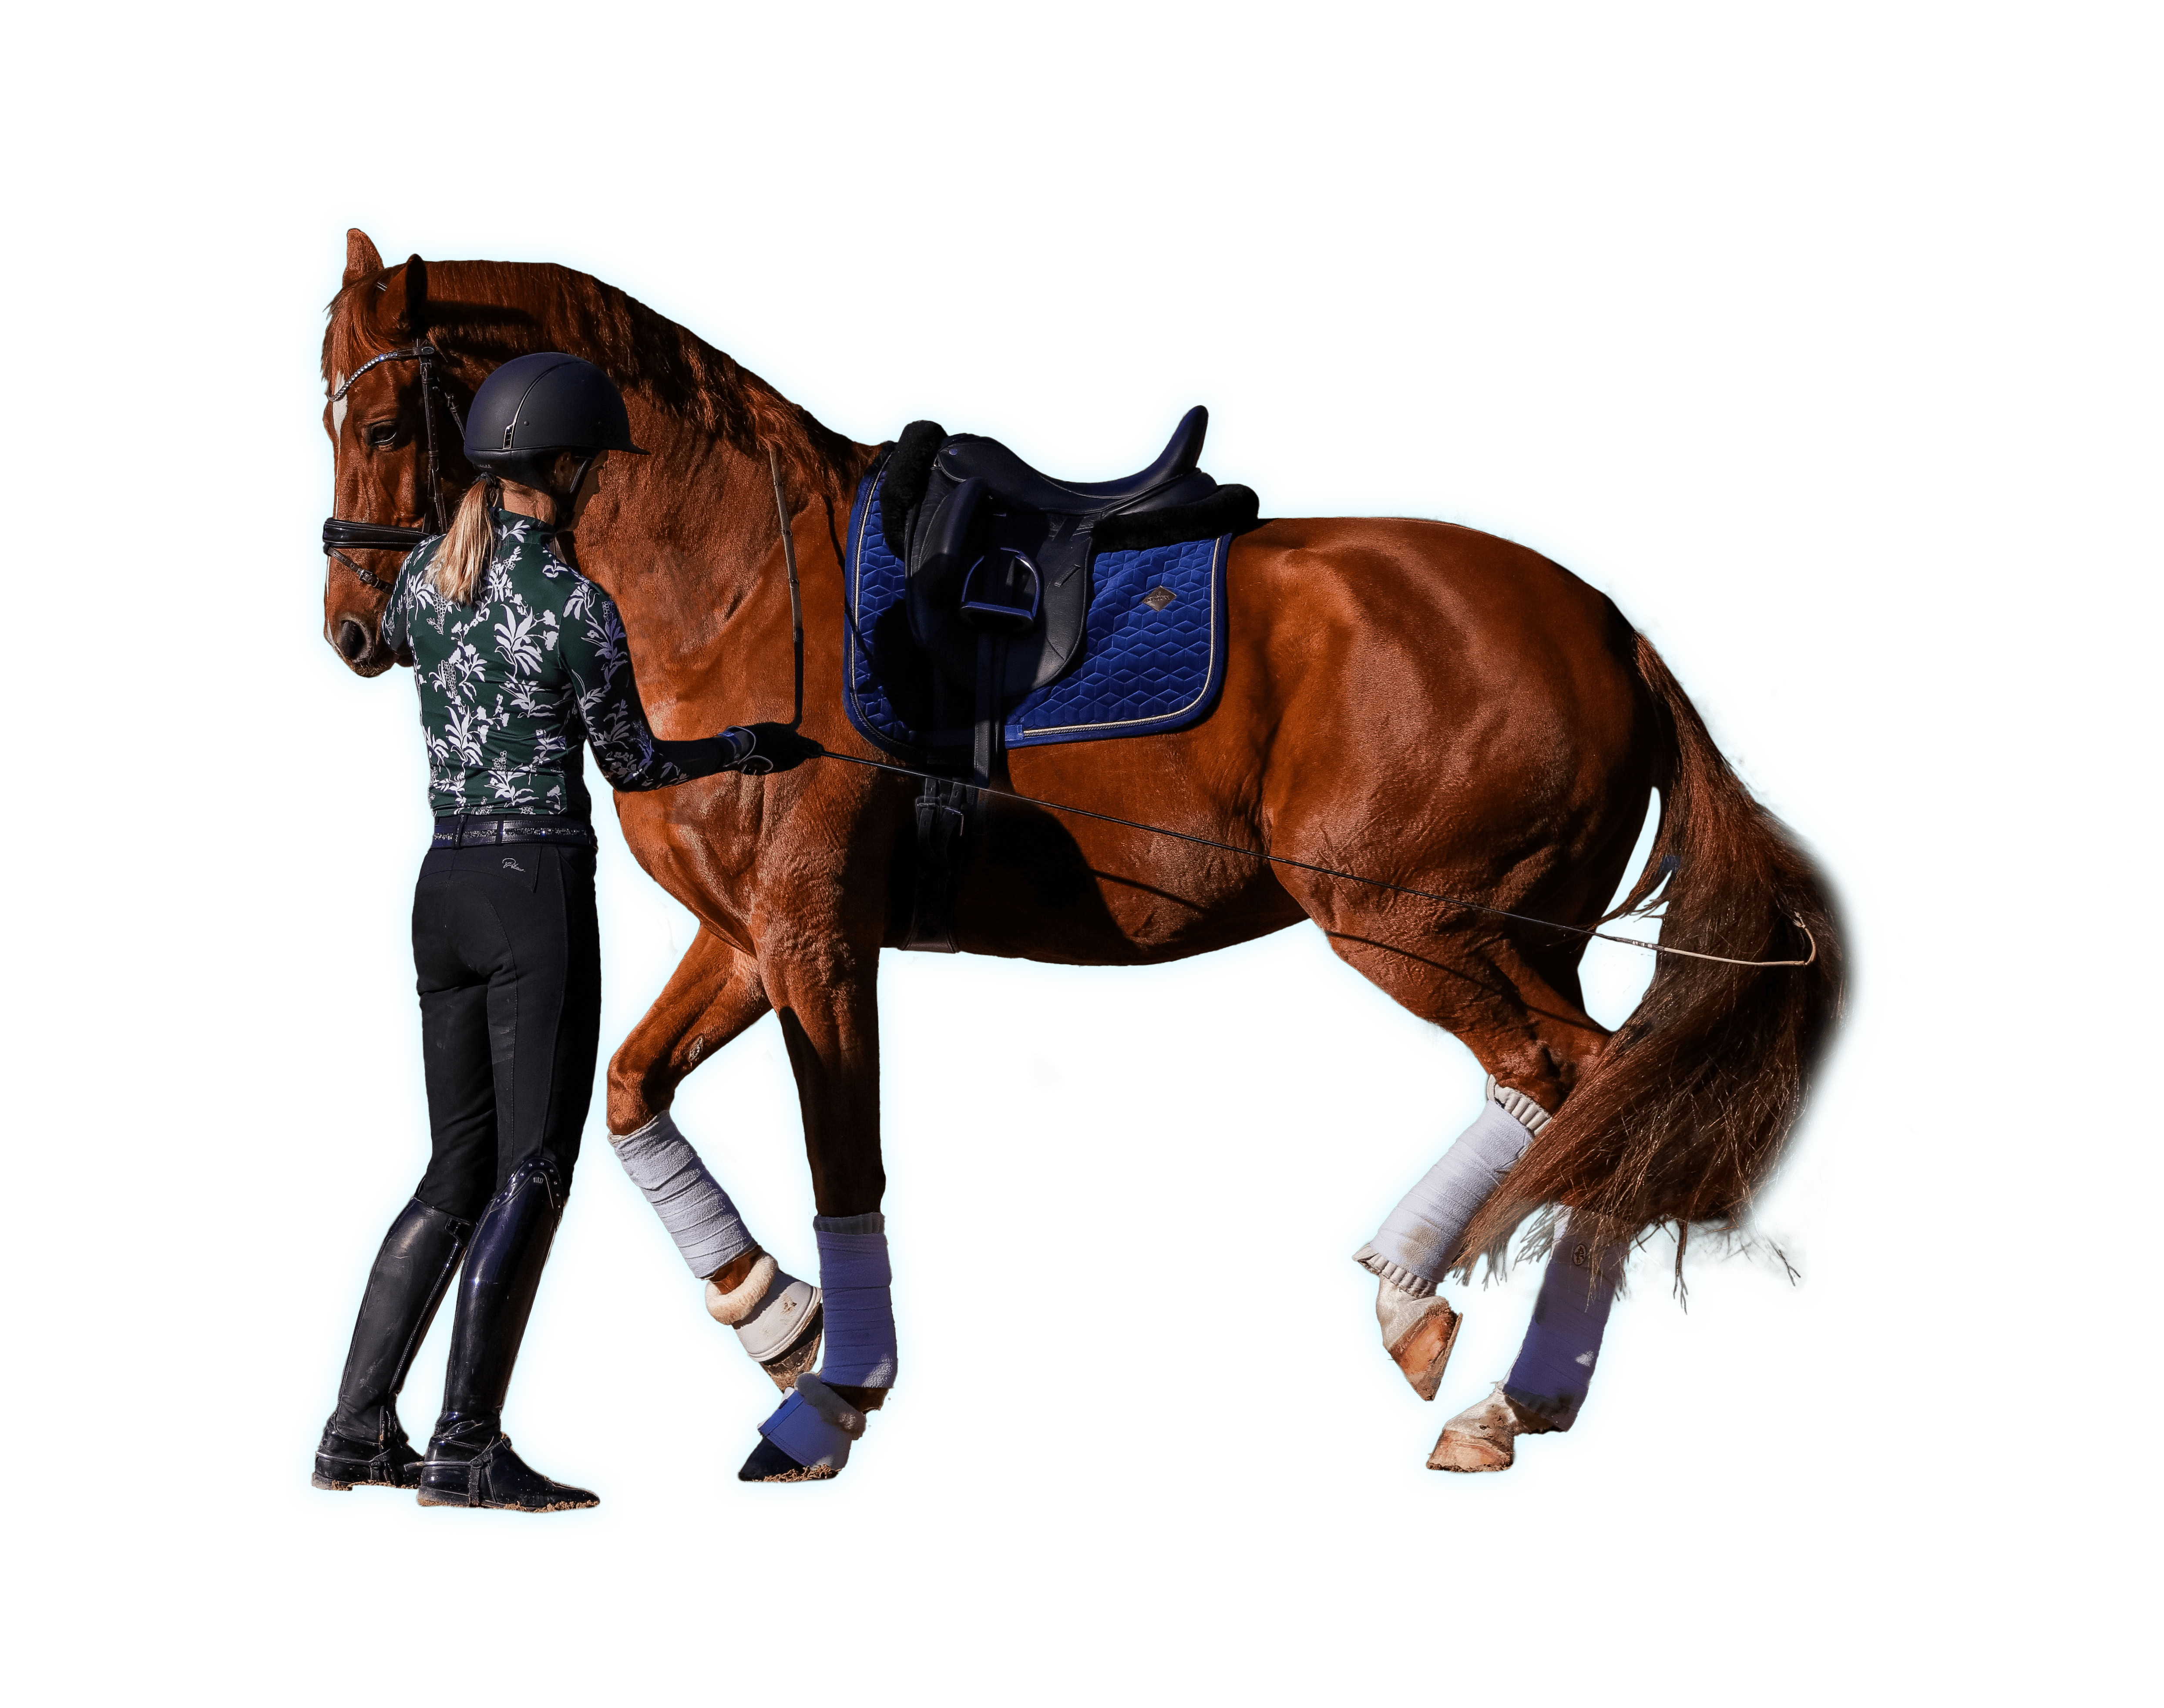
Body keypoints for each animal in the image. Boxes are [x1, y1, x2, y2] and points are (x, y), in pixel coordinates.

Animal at [315, 226, 1843, 1478]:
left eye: (384, 417)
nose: (352, 629)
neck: (744, 577)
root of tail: (1611, 625)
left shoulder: (816, 938)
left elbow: (848, 1162)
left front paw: (829, 1396)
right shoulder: (743, 939)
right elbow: (631, 1094)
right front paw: (772, 1314)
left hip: (1414, 924)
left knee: (1595, 1093)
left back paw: (1506, 1393)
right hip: (1494, 932)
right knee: (1563, 1098)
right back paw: (1429, 1315)